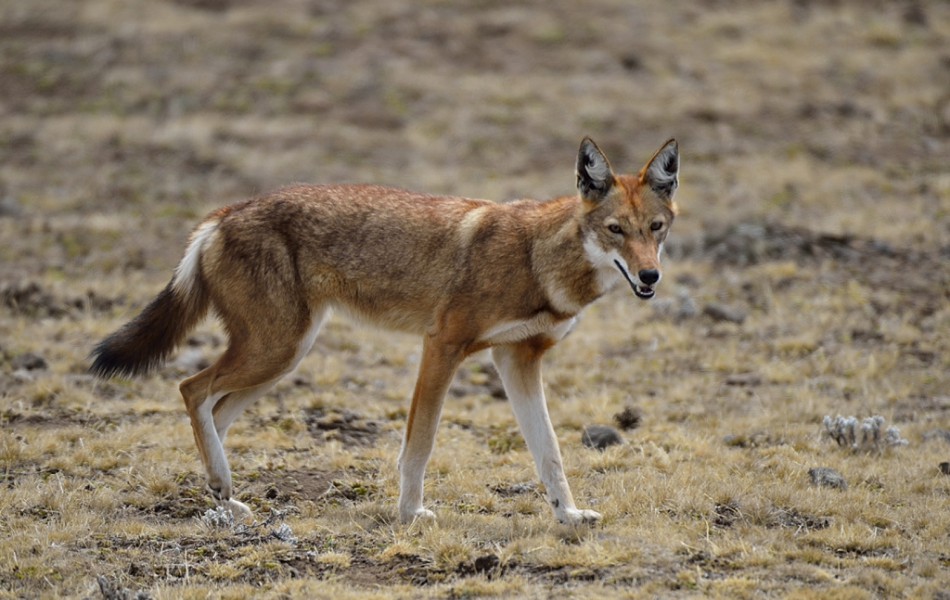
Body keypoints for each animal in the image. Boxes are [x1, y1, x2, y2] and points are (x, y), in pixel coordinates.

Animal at [90, 137, 679, 525]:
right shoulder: (443, 346)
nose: (650, 277)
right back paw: (221, 486)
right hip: (276, 351)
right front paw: (410, 513)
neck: (538, 260)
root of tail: (224, 212)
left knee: (212, 410)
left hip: (283, 358)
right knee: (190, 389)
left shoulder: (517, 360)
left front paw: (569, 517)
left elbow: (550, 453)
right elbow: (420, 444)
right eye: (615, 231)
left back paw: (225, 494)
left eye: (656, 229)